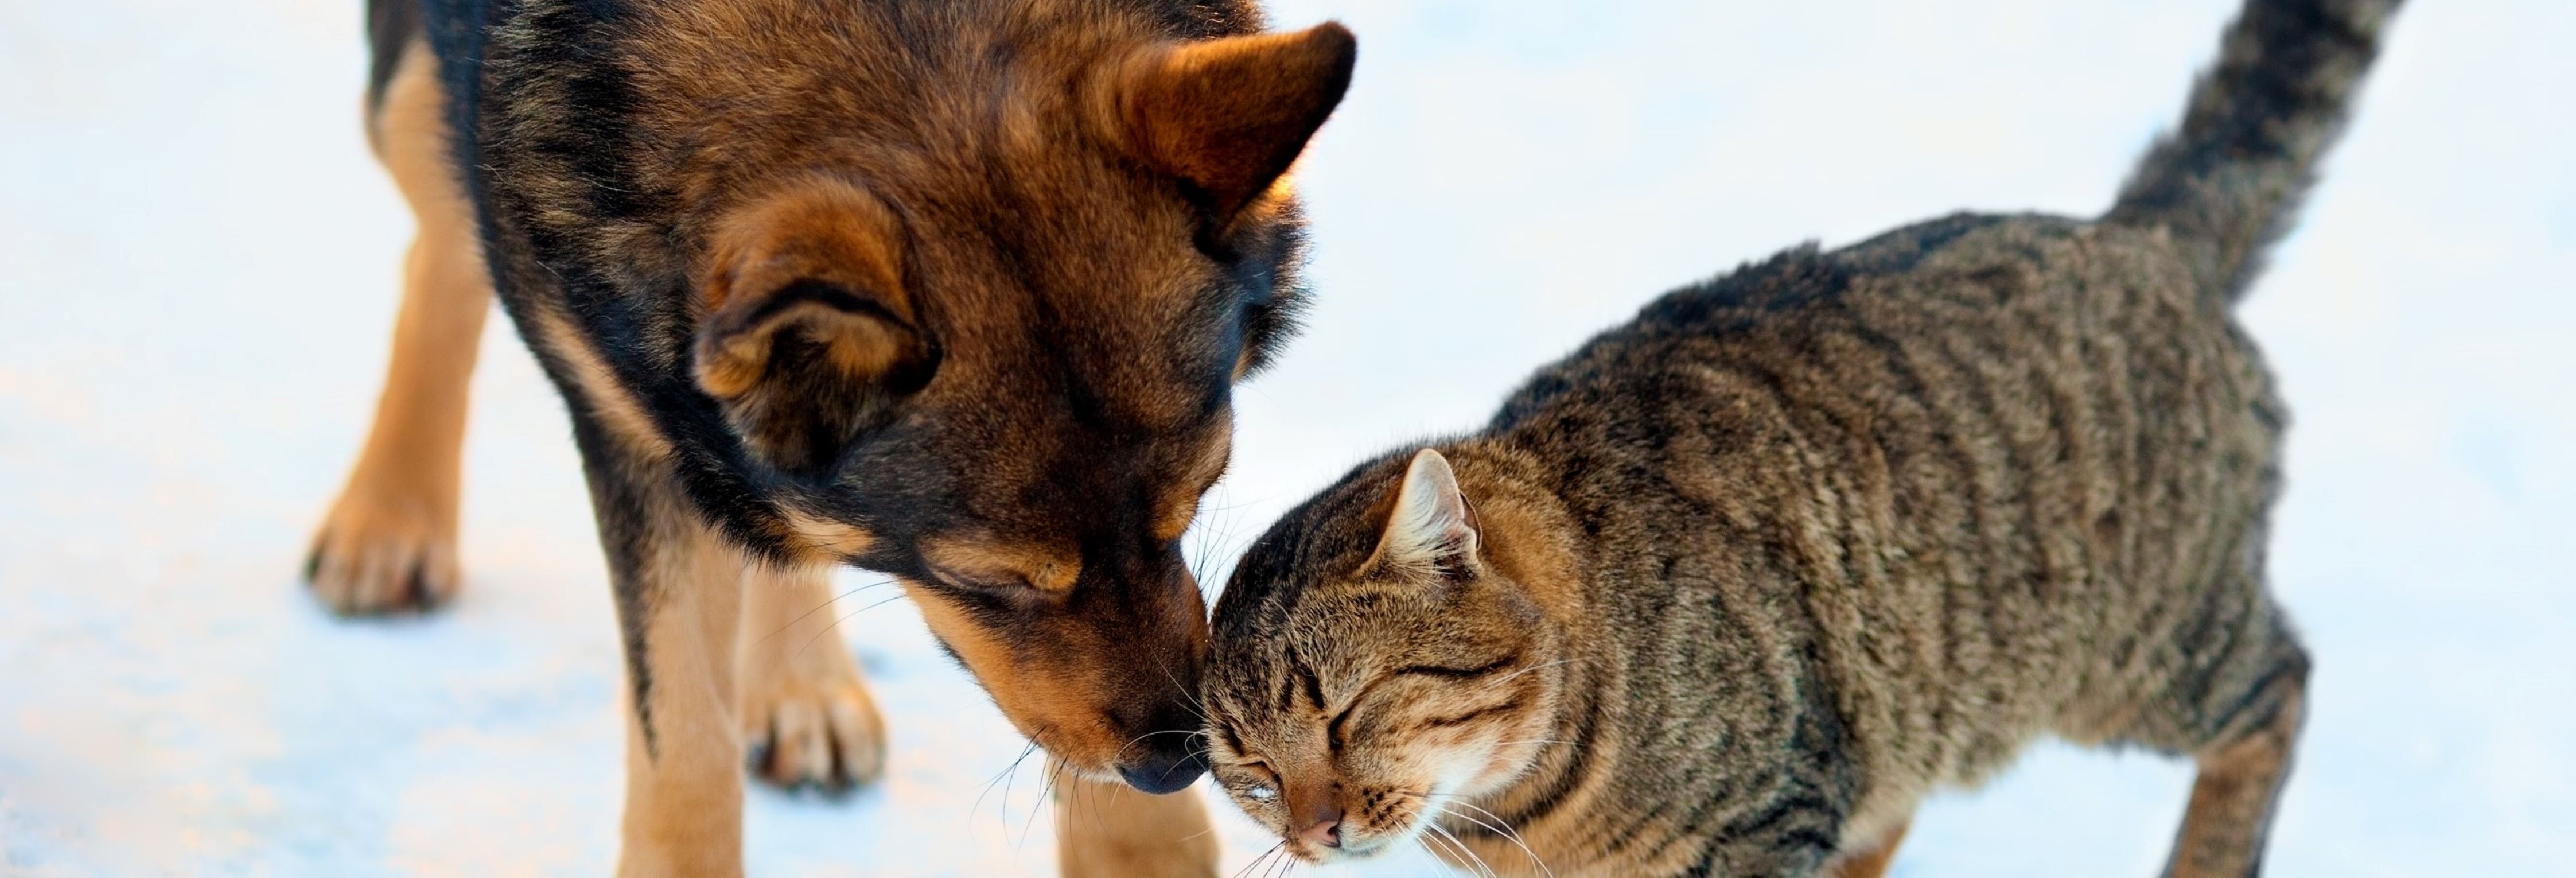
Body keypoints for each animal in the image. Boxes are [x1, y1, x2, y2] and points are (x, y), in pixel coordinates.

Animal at [306, 3, 1349, 870]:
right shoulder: (631, 421)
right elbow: (682, 738)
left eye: (1198, 501)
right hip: (420, 100)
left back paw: (801, 686)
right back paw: (386, 523)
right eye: (989, 579)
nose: (1179, 762)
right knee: (440, 238)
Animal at [1200, 1, 2390, 875]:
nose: (1311, 830)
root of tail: (2133, 236)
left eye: (1343, 714)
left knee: (2279, 687)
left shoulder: (1771, 821)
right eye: (1251, 772)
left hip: (2147, 655)